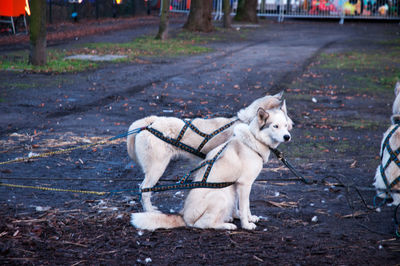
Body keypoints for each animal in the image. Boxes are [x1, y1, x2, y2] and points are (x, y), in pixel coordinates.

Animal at [133, 102, 292, 231]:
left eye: (286, 125)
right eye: (275, 126)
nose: (287, 137)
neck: (253, 141)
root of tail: (184, 216)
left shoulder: (236, 184)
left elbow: (242, 206)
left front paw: (245, 217)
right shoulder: (245, 184)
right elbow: (244, 206)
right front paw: (246, 224)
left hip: (227, 191)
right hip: (219, 195)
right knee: (203, 224)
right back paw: (227, 225)